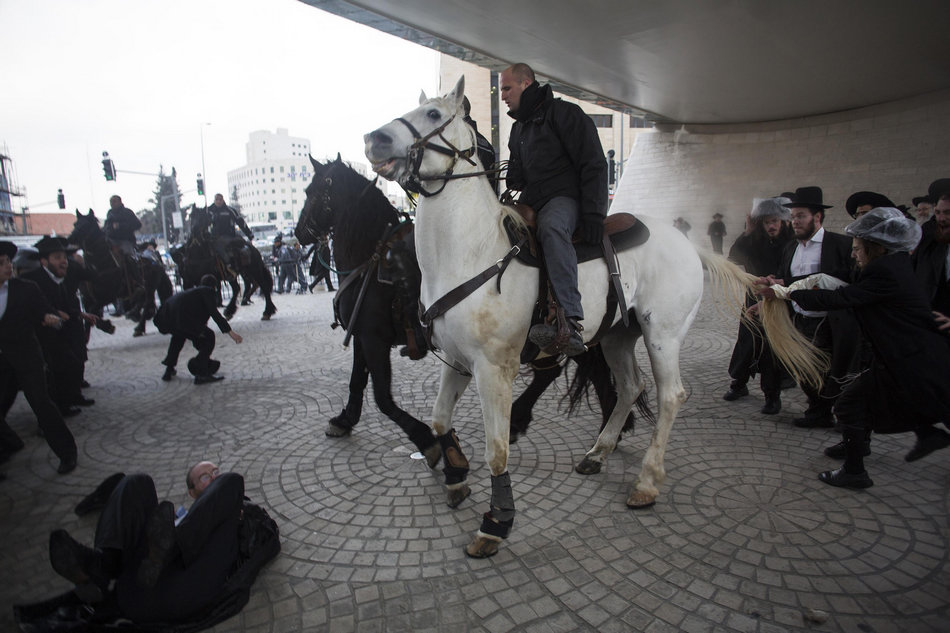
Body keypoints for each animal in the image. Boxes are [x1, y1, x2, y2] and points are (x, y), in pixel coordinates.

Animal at [298, 156, 640, 456]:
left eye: (315, 192)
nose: (300, 233)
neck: (371, 259)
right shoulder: (363, 336)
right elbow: (357, 381)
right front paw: (344, 419)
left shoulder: (373, 338)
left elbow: (382, 397)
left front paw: (425, 440)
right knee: (580, 369)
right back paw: (611, 426)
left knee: (564, 371)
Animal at [366, 76, 820, 556]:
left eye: (434, 115)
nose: (374, 139)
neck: (472, 251)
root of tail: (687, 243)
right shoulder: (457, 361)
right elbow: (439, 419)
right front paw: (455, 476)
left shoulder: (495, 368)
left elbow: (497, 449)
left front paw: (497, 521)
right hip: (619, 336)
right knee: (631, 387)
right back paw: (599, 452)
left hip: (663, 336)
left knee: (670, 396)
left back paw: (646, 482)